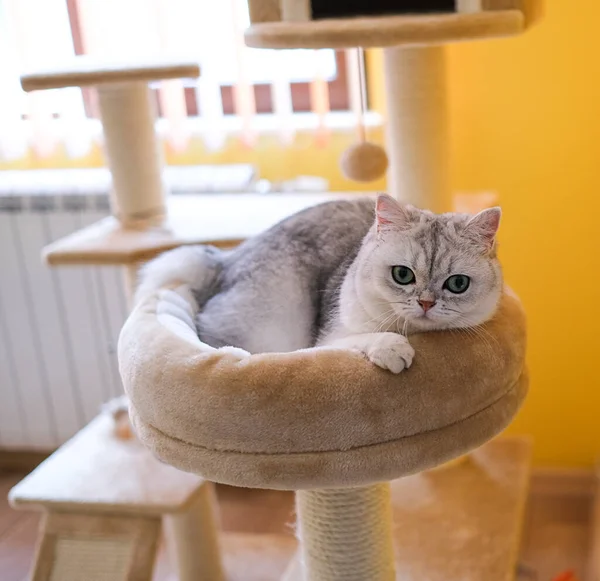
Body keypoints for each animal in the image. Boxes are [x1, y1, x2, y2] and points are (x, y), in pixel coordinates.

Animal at [138, 193, 504, 374]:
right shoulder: (327, 341)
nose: (426, 303)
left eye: (457, 284)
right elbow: (364, 339)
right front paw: (392, 348)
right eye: (403, 275)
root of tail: (225, 261)